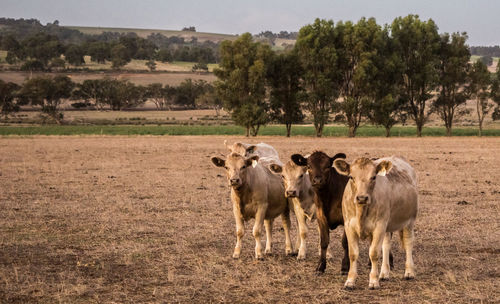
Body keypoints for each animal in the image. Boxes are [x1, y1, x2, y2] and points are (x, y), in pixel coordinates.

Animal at [334, 157, 420, 290]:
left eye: (373, 177)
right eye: (351, 177)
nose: (362, 198)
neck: (361, 212)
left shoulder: (379, 226)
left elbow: (373, 253)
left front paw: (373, 281)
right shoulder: (349, 227)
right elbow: (353, 254)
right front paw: (350, 281)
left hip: (409, 221)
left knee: (408, 242)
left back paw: (409, 272)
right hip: (387, 225)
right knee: (386, 245)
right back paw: (384, 273)